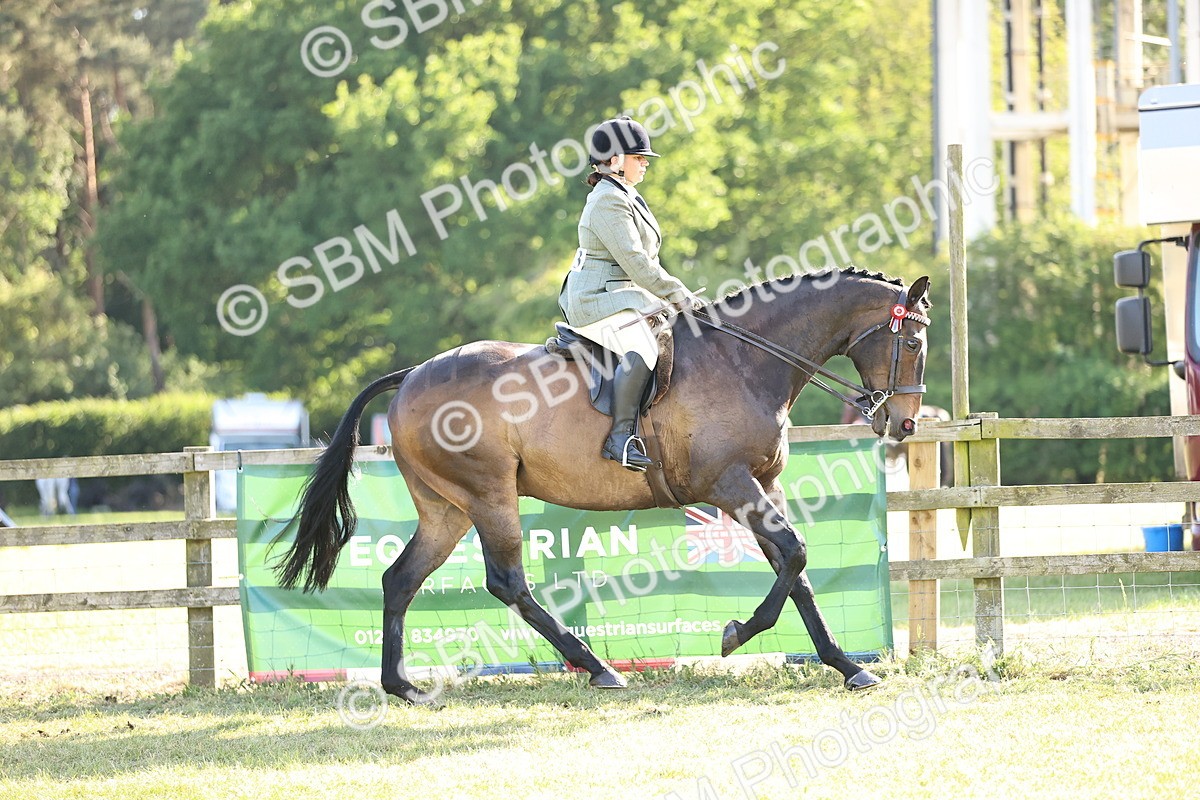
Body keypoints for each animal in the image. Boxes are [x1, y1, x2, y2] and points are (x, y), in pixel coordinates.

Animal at [275, 268, 932, 701]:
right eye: (913, 341)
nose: (904, 424)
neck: (744, 362)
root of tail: (412, 375)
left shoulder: (764, 485)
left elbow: (794, 569)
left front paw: (846, 664)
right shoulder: (729, 484)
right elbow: (793, 556)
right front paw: (735, 634)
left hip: (447, 510)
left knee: (401, 579)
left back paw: (401, 685)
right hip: (490, 497)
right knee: (507, 582)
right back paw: (597, 668)